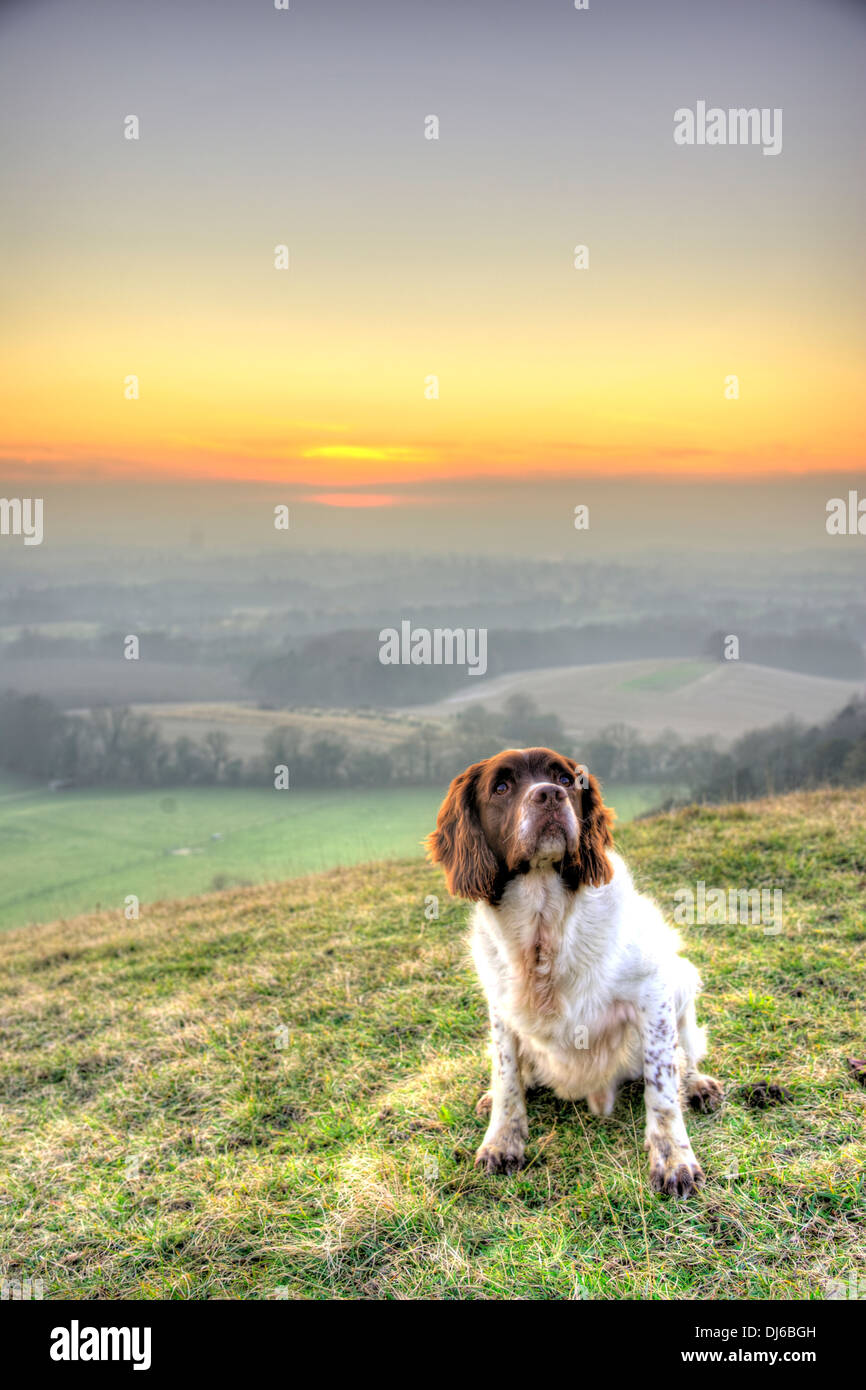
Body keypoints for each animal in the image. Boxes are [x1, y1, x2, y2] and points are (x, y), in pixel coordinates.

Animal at [422, 750, 722, 1195]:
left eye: (566, 779)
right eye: (501, 787)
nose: (550, 795)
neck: (544, 921)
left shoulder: (652, 991)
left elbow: (663, 1088)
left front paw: (674, 1160)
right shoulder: (502, 1008)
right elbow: (507, 1076)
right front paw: (502, 1140)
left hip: (681, 977)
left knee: (686, 1053)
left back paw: (698, 1084)